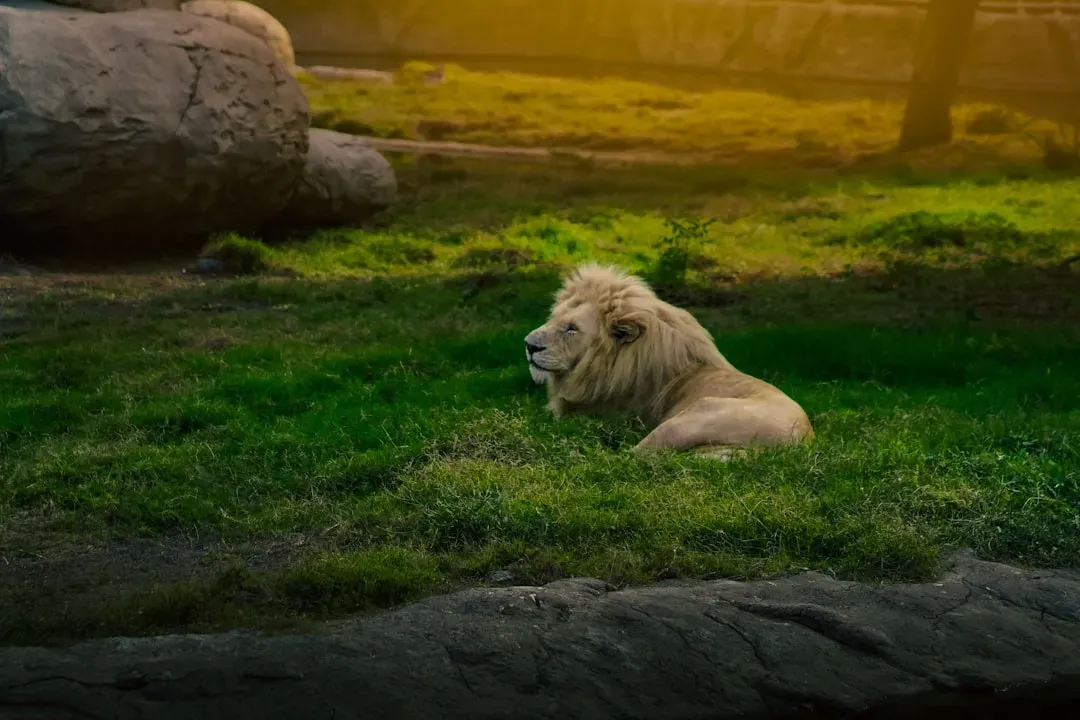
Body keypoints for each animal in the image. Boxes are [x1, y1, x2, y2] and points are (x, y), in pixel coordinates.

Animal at [524, 263, 813, 459]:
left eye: (572, 329)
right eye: (554, 318)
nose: (529, 345)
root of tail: (800, 438)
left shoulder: (602, 415)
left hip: (685, 421)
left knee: (630, 456)